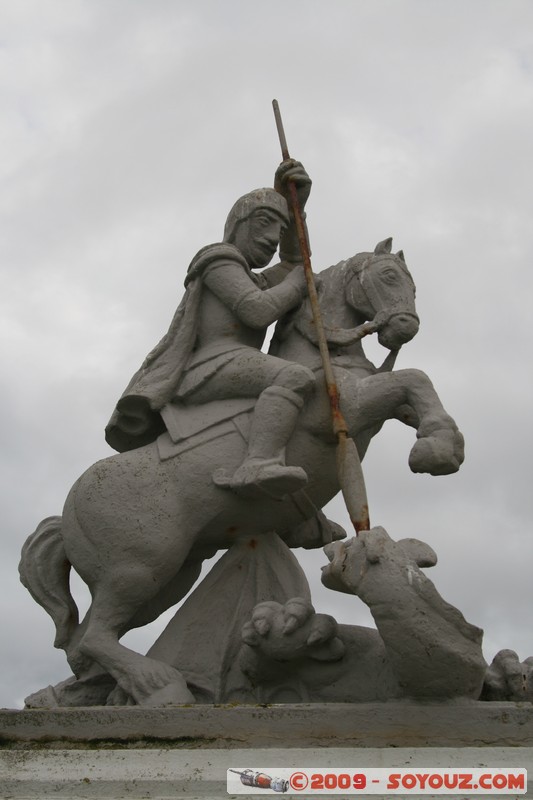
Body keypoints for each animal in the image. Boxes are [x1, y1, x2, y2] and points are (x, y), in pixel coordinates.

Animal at [19, 236, 462, 708]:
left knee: (83, 644)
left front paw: (442, 441)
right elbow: (413, 378)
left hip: (170, 576)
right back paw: (160, 684)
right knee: (95, 637)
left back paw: (82, 694)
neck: (323, 356)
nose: (406, 327)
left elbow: (413, 394)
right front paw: (437, 452)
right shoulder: (350, 408)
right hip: (139, 568)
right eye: (389, 276)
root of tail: (66, 514)